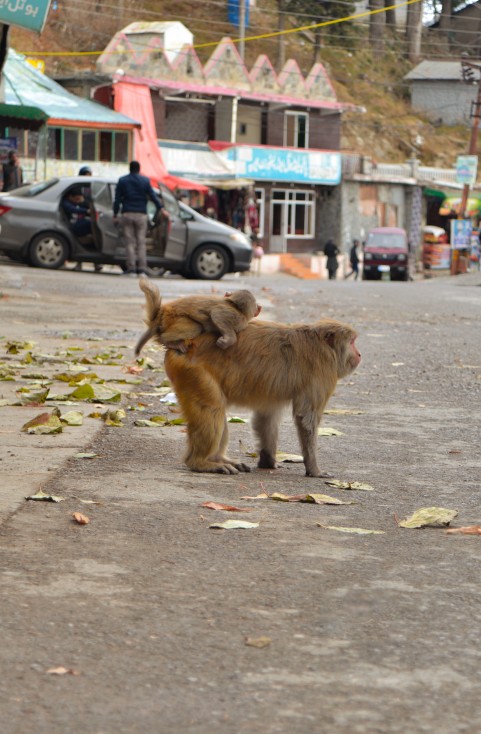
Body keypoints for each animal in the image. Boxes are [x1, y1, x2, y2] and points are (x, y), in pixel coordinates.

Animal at [141, 284, 361, 476]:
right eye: (352, 342)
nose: (359, 354)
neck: (322, 345)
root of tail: (186, 344)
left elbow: (267, 415)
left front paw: (267, 460)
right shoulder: (323, 374)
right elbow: (306, 418)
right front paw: (314, 469)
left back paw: (218, 459)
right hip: (193, 373)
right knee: (212, 408)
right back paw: (201, 462)